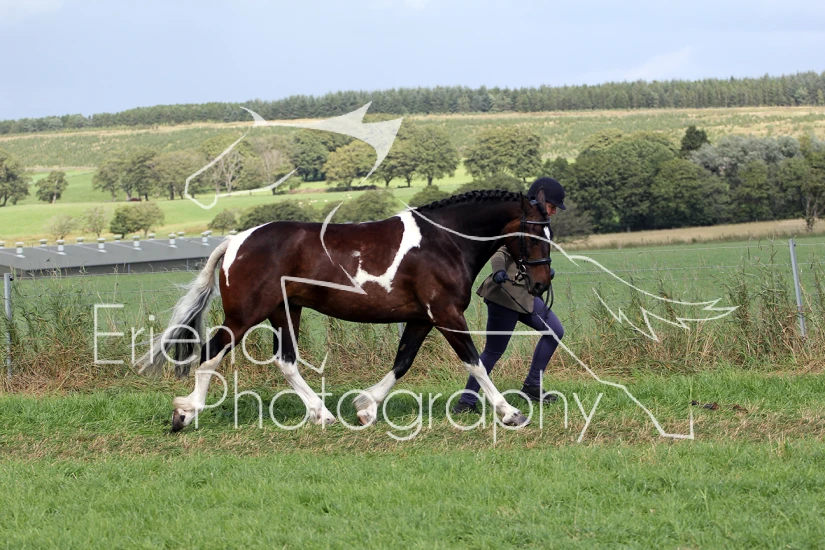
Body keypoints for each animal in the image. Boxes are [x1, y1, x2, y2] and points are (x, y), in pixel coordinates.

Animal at [137, 188, 553, 431]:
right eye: (535, 233)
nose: (542, 283)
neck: (443, 242)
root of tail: (236, 241)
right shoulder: (446, 315)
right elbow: (476, 362)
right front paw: (512, 414)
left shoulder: (421, 319)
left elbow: (403, 362)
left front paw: (365, 407)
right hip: (244, 316)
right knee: (211, 354)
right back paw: (184, 413)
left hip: (284, 312)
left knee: (285, 361)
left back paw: (323, 414)